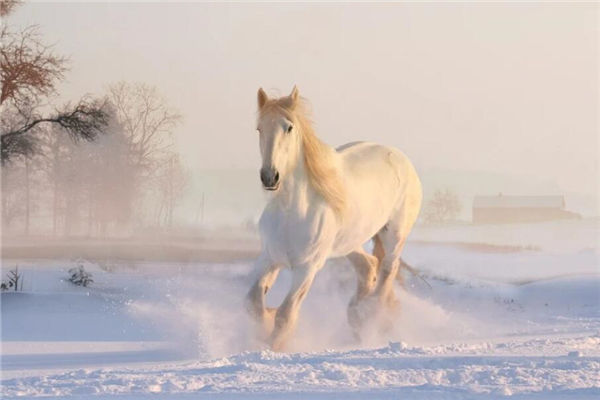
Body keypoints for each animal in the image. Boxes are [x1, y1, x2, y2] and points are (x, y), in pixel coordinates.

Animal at [244, 86, 422, 350]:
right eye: (259, 128)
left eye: (289, 127)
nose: (269, 177)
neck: (291, 212)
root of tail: (400, 158)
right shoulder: (269, 258)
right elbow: (254, 303)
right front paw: (264, 326)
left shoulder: (307, 268)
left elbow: (286, 315)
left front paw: (273, 346)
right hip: (349, 242)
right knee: (369, 266)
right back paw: (357, 316)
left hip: (394, 235)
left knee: (388, 269)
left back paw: (372, 314)